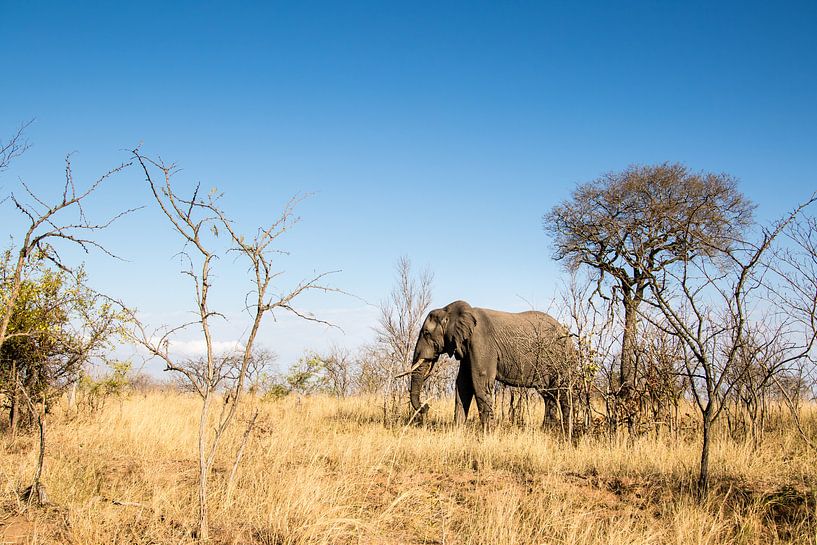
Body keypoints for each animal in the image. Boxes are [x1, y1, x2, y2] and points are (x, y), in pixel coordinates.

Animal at [408, 300, 576, 431]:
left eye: (426, 333)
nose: (426, 408)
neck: (448, 309)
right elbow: (463, 384)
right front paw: (457, 431)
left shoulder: (480, 341)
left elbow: (480, 380)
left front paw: (488, 433)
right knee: (549, 395)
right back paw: (548, 429)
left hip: (561, 357)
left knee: (561, 392)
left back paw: (565, 429)